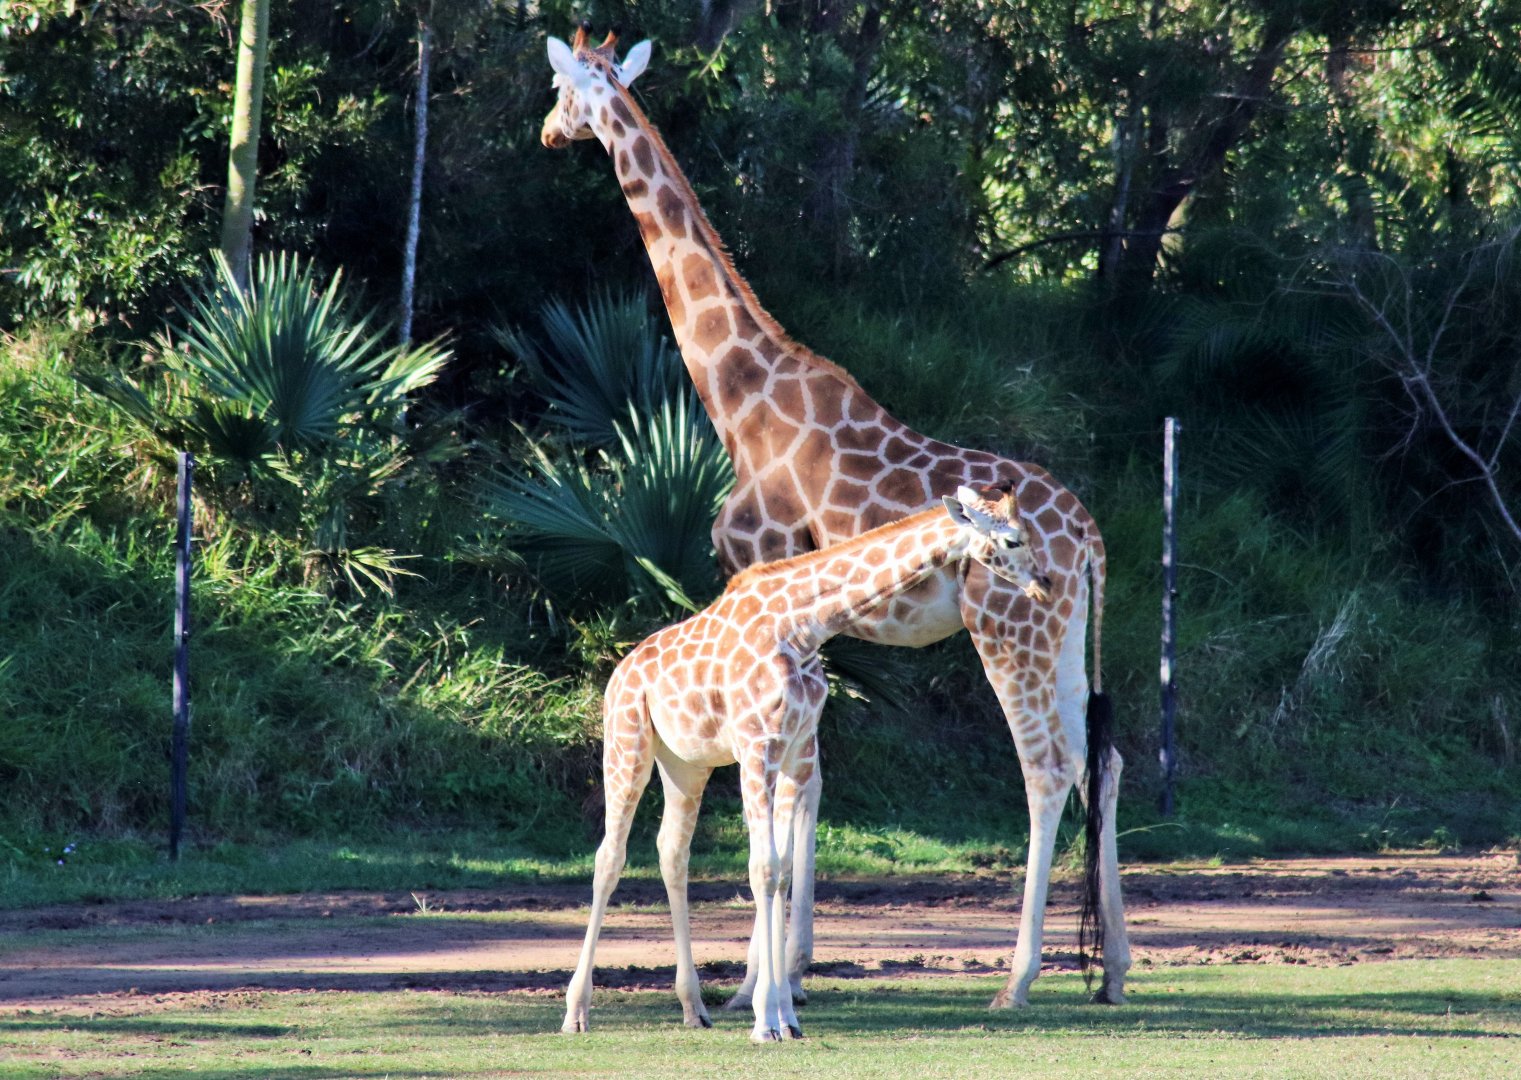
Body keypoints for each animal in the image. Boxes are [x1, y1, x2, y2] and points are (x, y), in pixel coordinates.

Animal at [564, 485, 1053, 1043]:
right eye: (1013, 540)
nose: (1045, 584)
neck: (801, 627)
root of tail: (621, 669)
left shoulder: (796, 752)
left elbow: (781, 873)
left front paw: (785, 1018)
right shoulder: (757, 747)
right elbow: (761, 868)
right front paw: (764, 1022)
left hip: (686, 764)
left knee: (672, 852)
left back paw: (694, 1007)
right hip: (627, 743)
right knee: (609, 856)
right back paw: (576, 1012)